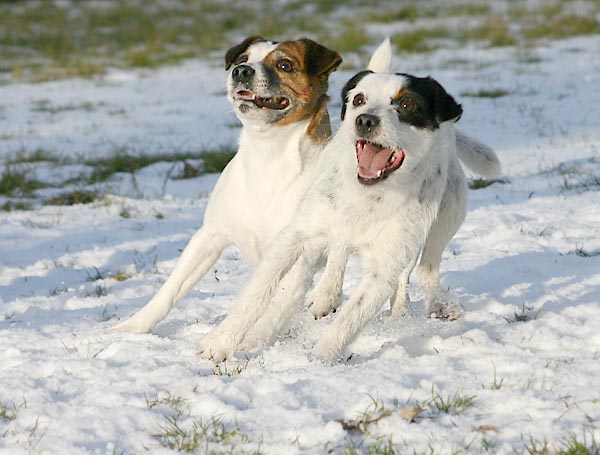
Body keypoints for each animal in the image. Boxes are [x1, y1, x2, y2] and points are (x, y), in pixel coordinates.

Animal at [199, 68, 494, 364]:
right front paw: (219, 343)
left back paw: (432, 303)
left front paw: (319, 359)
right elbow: (257, 292)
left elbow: (349, 319)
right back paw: (326, 293)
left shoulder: (385, 265)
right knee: (339, 250)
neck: (368, 195)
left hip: (451, 208)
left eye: (407, 104)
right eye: (359, 99)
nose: (365, 120)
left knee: (426, 266)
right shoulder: (296, 236)